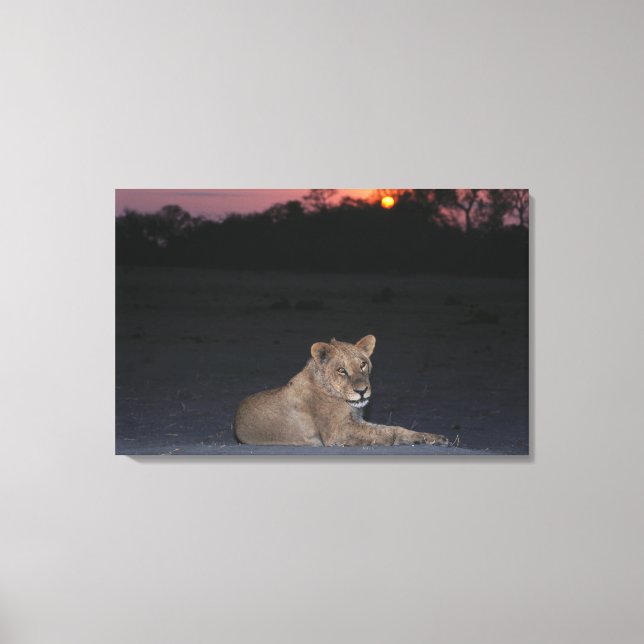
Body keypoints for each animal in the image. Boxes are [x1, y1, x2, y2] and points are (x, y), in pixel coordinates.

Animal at [234, 334, 449, 447]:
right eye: (341, 370)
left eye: (363, 364)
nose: (362, 391)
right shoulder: (336, 433)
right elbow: (388, 432)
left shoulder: (356, 421)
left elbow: (390, 428)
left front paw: (431, 438)